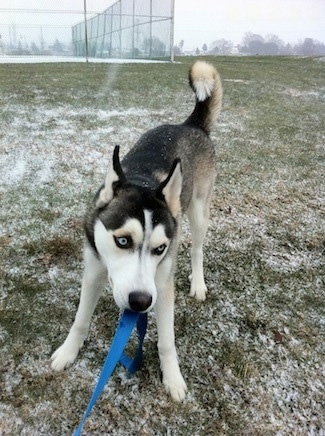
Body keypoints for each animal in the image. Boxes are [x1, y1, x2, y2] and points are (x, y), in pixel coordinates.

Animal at [51, 61, 223, 402]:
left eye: (159, 249)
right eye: (122, 240)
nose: (141, 302)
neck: (142, 180)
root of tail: (191, 125)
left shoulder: (162, 283)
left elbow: (167, 340)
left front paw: (173, 378)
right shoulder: (94, 269)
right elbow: (80, 320)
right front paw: (68, 352)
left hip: (199, 211)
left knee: (197, 248)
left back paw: (198, 282)